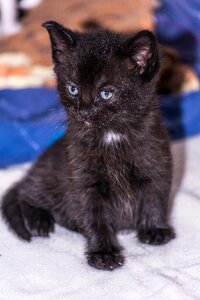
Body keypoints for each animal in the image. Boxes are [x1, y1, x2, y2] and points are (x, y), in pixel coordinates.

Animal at [1, 21, 175, 270]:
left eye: (106, 93)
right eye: (72, 88)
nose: (83, 111)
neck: (111, 136)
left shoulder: (157, 161)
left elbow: (156, 196)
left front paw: (155, 230)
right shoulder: (83, 178)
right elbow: (95, 215)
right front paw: (103, 253)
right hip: (49, 176)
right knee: (25, 192)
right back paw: (38, 220)